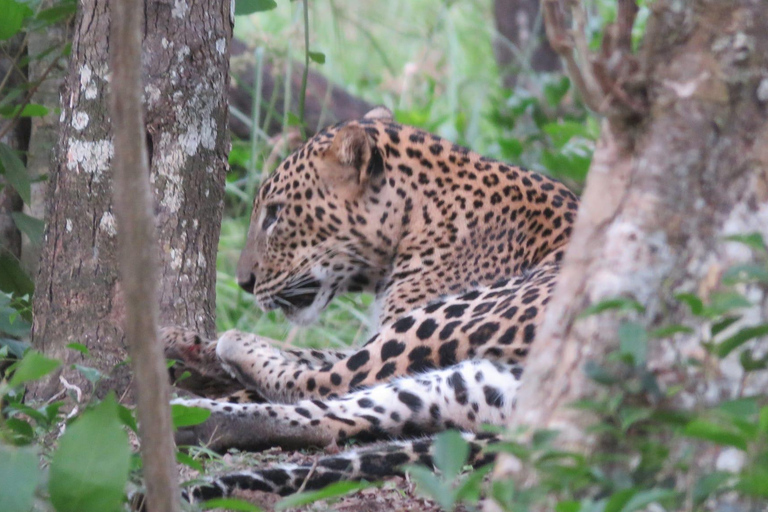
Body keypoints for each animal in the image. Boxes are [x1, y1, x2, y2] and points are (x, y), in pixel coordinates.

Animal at [165, 106, 580, 502]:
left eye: (276, 213)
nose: (244, 283)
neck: (417, 216)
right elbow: (310, 351)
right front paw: (185, 344)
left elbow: (321, 363)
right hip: (468, 378)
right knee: (330, 414)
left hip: (441, 320)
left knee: (328, 383)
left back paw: (225, 355)